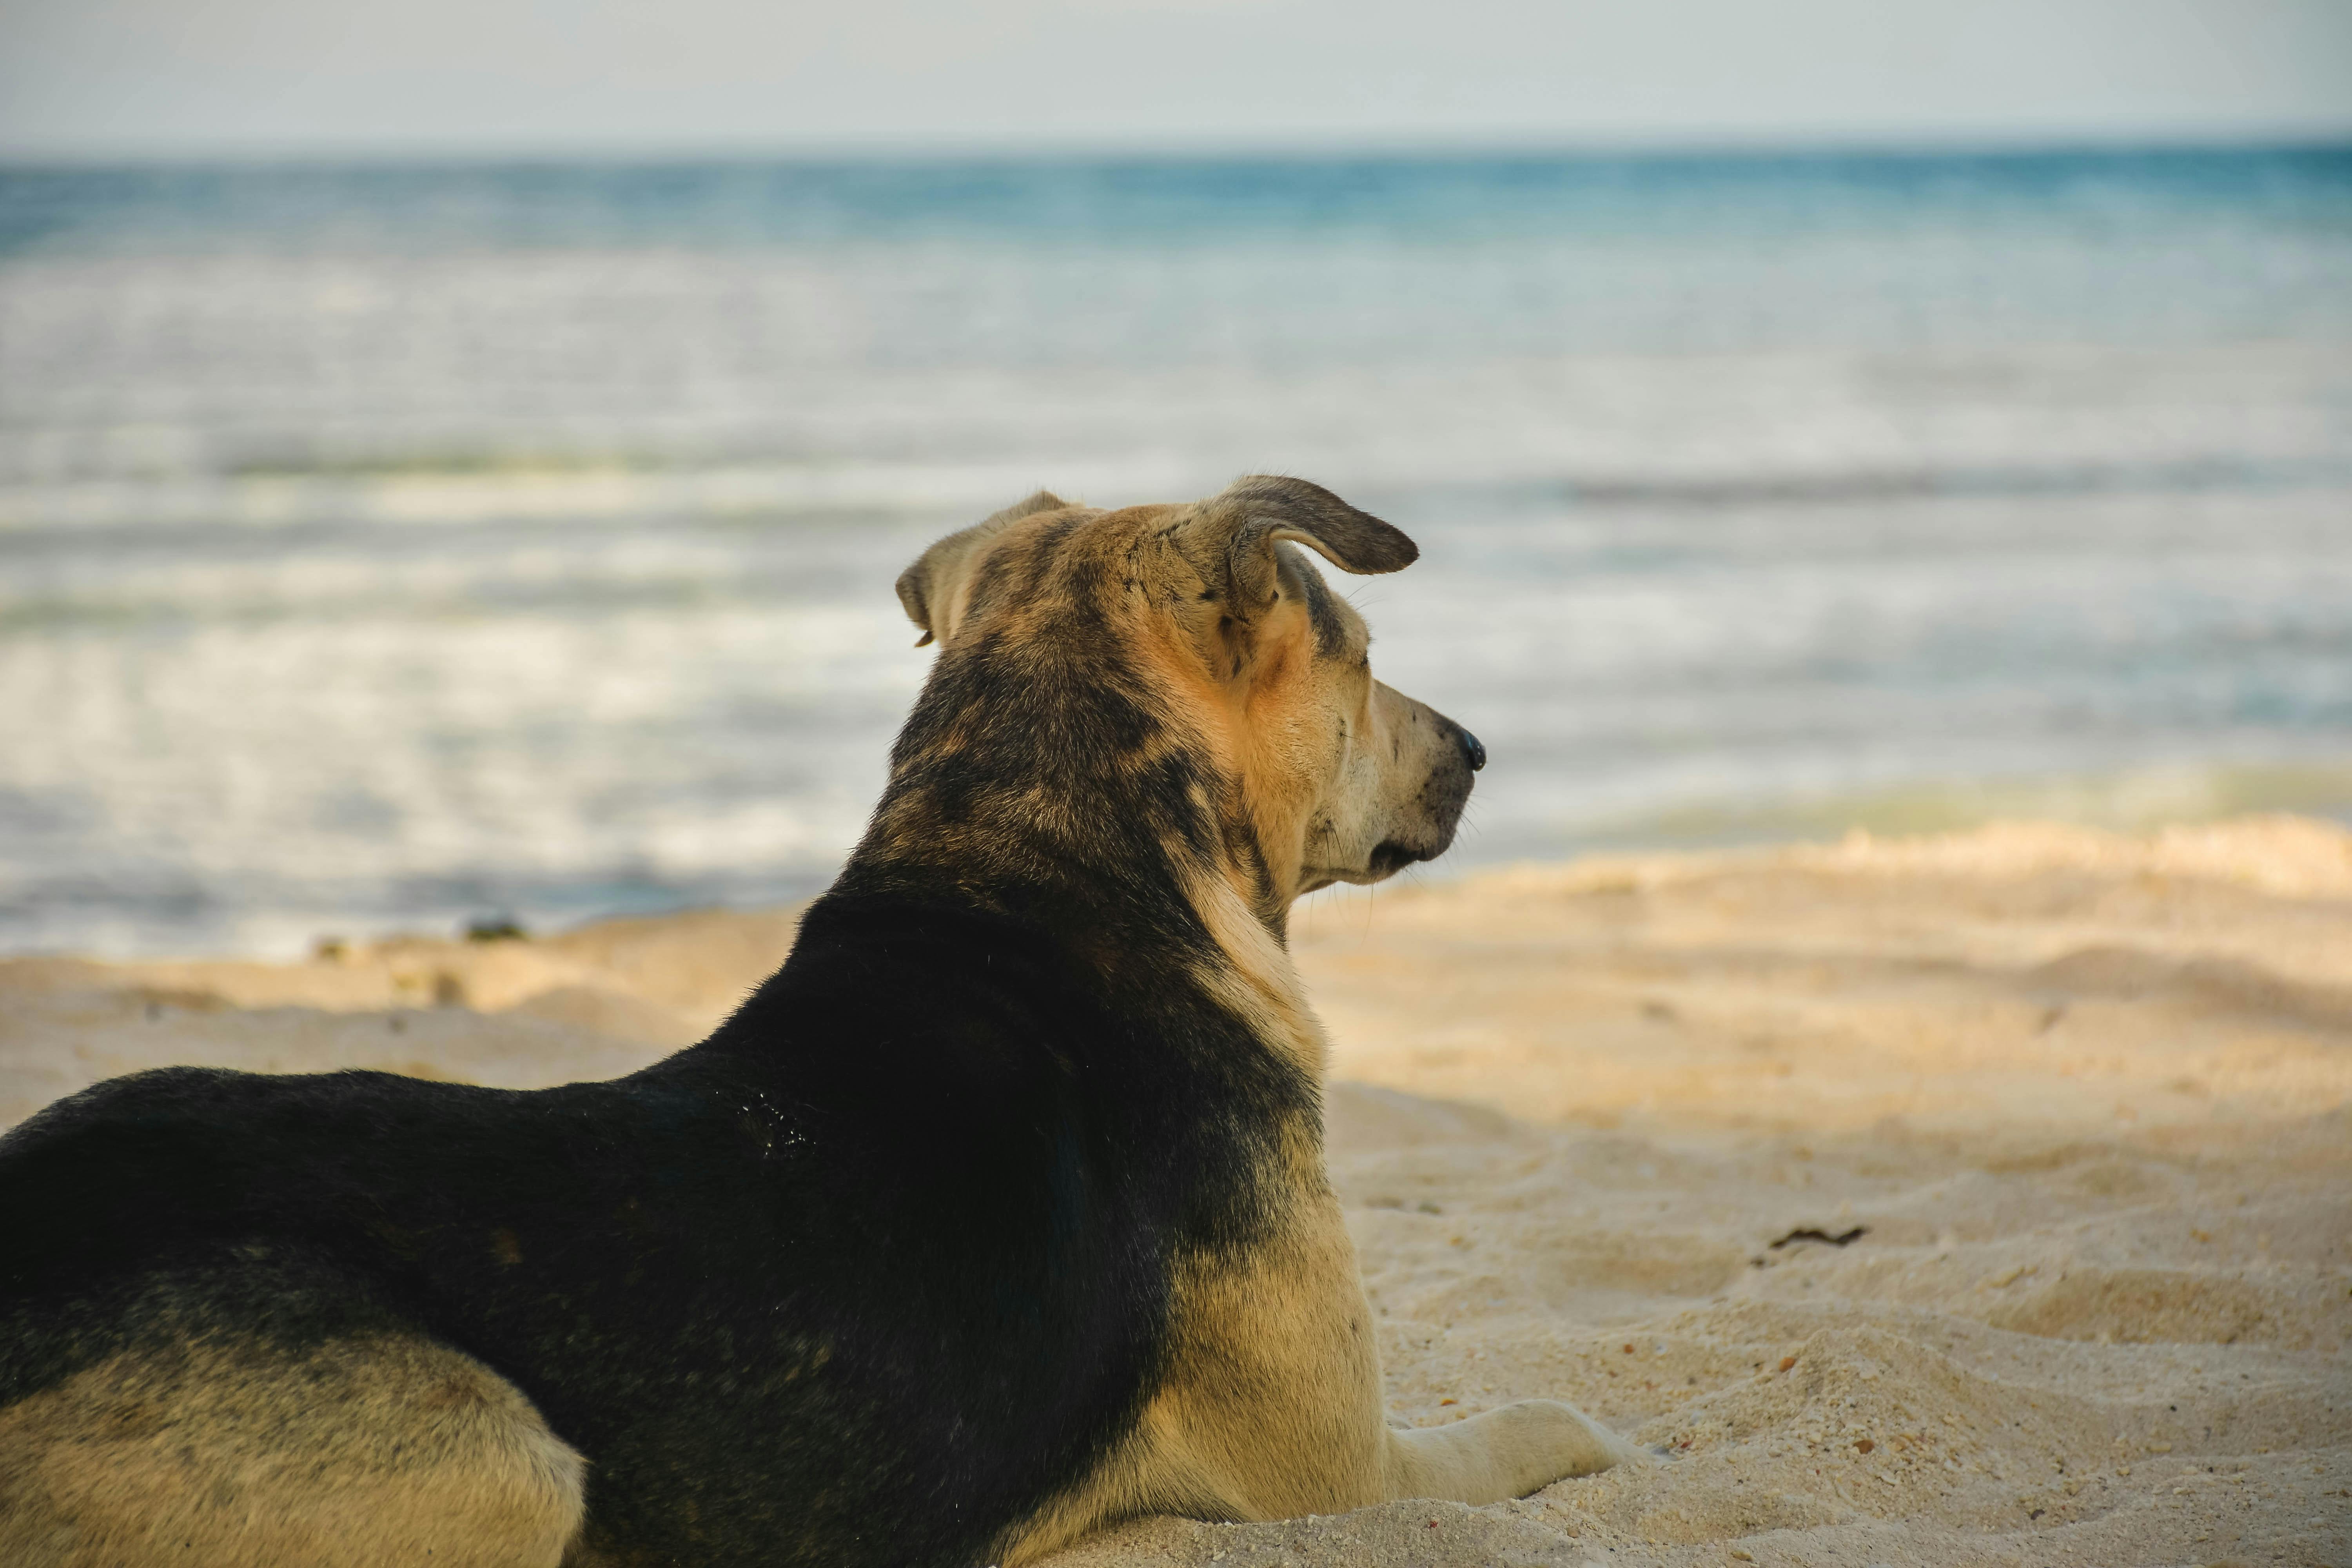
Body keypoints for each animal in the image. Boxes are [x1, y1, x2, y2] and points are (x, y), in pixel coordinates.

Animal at [0, 482, 1637, 1568]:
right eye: (1358, 655)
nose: (1477, 748)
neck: (1031, 871)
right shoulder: (1337, 1467)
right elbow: (1524, 1428)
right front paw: (1592, 1435)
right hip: (503, 1455)